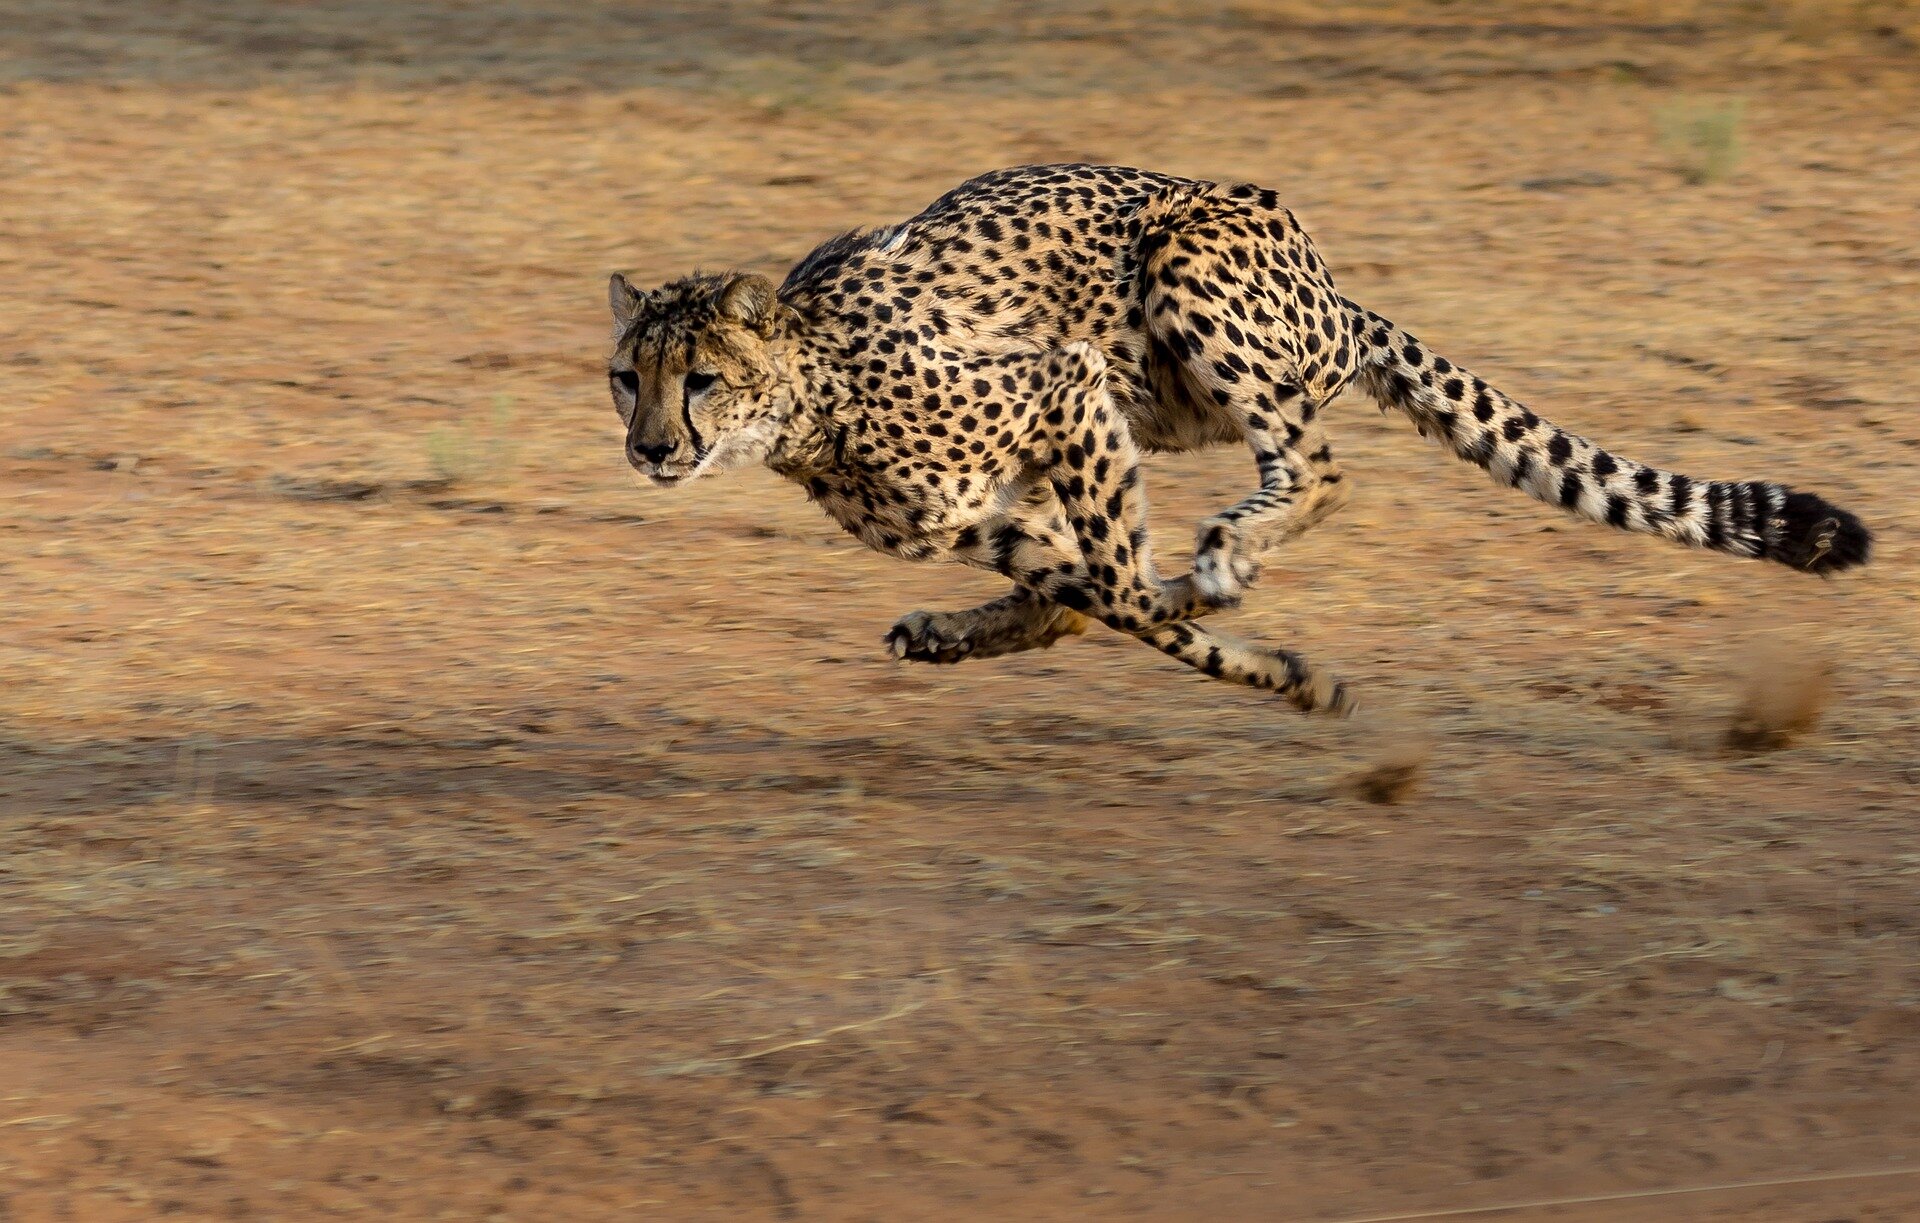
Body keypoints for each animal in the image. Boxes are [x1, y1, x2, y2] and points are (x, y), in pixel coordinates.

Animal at [610, 163, 1873, 714]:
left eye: (702, 379)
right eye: (629, 378)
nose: (652, 449)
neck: (810, 399)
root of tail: (1331, 283)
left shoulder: (1065, 385)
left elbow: (1124, 592)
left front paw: (1265, 652)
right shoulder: (983, 510)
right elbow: (1093, 594)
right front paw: (1268, 661)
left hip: (1185, 277)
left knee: (1316, 465)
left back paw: (1228, 552)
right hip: (1160, 398)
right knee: (1090, 585)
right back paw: (975, 628)